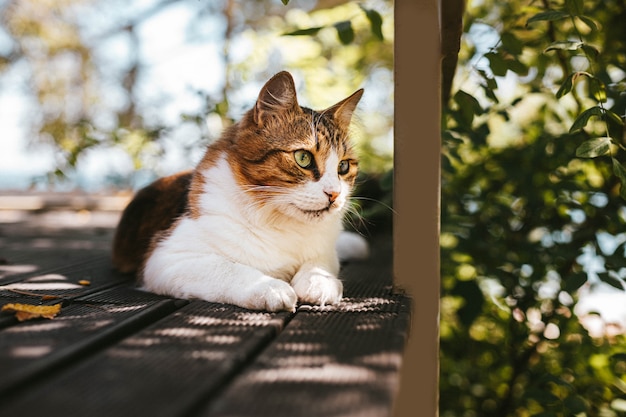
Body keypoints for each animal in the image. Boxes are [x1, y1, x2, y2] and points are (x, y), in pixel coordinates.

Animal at [111, 71, 366, 310]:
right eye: (303, 158)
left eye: (343, 166)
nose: (334, 195)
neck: (281, 224)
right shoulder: (166, 258)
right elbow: (228, 268)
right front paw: (270, 288)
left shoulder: (324, 250)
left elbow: (320, 263)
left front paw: (319, 282)